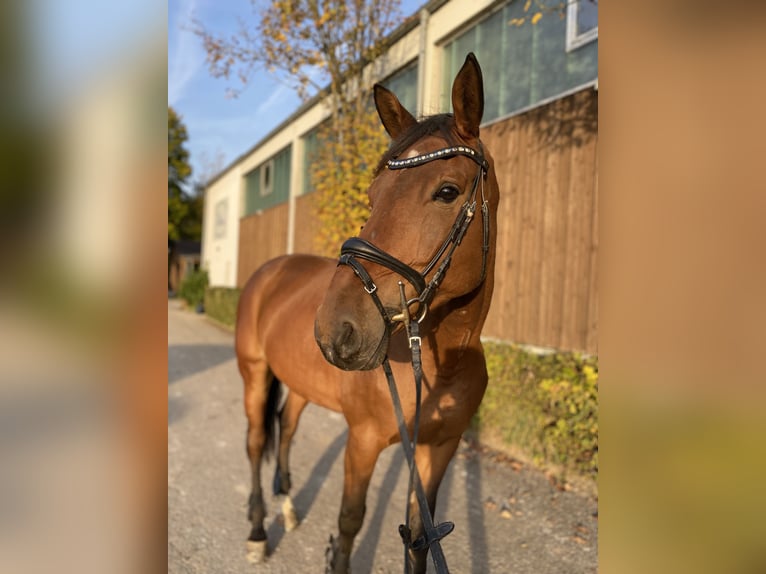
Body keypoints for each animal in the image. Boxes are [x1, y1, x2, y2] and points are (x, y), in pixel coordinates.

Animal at [234, 51, 500, 572]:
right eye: (373, 196)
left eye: (447, 191)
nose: (336, 329)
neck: (441, 363)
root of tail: (270, 269)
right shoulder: (362, 442)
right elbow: (349, 524)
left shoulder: (437, 451)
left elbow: (419, 537)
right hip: (254, 374)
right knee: (256, 443)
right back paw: (257, 530)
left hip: (298, 382)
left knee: (287, 428)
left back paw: (288, 507)